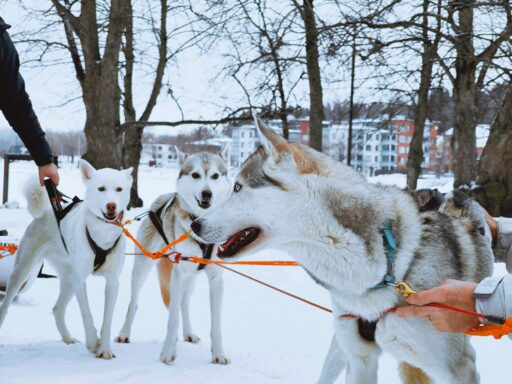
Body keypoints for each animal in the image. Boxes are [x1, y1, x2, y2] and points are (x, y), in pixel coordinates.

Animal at [0, 160, 132, 358]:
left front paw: (105, 349)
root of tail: (47, 211)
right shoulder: (80, 280)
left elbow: (107, 321)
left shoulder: (112, 282)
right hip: (21, 272)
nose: (111, 206)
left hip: (69, 279)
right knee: (5, 306)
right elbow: (86, 314)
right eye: (101, 188)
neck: (102, 233)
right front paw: (92, 343)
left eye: (119, 189)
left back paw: (68, 338)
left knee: (57, 309)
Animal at [116, 148, 232, 366]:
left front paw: (219, 353)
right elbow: (172, 319)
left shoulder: (216, 280)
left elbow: (216, 324)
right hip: (143, 268)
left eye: (215, 176)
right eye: (195, 175)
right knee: (134, 303)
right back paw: (124, 333)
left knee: (184, 304)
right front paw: (167, 352)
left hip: (190, 278)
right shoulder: (178, 275)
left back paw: (188, 333)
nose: (207, 193)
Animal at [190, 118, 494, 382]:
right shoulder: (360, 361)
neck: (387, 268)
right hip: (341, 346)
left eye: (238, 187)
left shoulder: (457, 368)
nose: (194, 224)